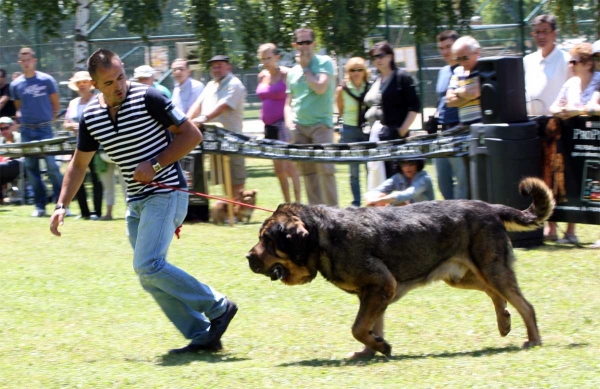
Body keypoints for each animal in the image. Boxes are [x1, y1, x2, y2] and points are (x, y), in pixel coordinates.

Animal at [246, 177, 556, 356]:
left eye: (266, 239)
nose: (247, 257)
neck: (322, 235)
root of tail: (491, 207)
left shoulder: (381, 285)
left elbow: (358, 327)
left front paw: (379, 347)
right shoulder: (375, 292)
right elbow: (370, 325)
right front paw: (371, 350)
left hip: (491, 268)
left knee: (525, 305)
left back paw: (533, 340)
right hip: (463, 276)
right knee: (496, 294)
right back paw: (504, 321)